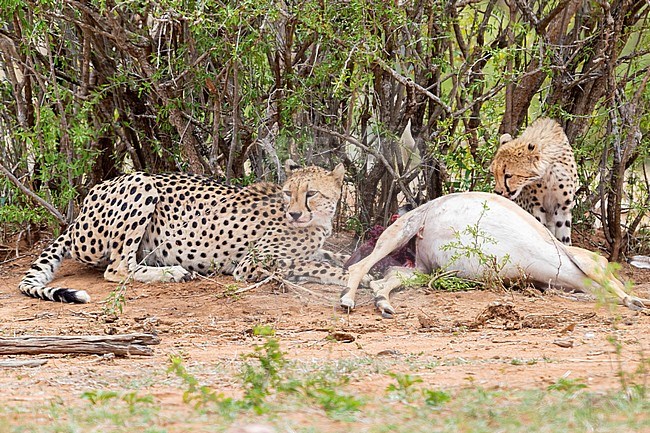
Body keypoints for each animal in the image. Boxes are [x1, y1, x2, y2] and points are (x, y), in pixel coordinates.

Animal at [20, 160, 352, 302]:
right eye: (287, 193)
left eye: (311, 193)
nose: (294, 213)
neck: (317, 222)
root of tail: (79, 213)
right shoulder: (249, 264)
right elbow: (314, 266)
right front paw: (353, 278)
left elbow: (332, 257)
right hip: (141, 182)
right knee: (118, 268)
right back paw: (173, 273)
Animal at [488, 116, 576, 245]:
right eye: (494, 173)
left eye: (508, 175)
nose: (498, 192)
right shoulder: (534, 207)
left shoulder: (563, 208)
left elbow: (564, 237)